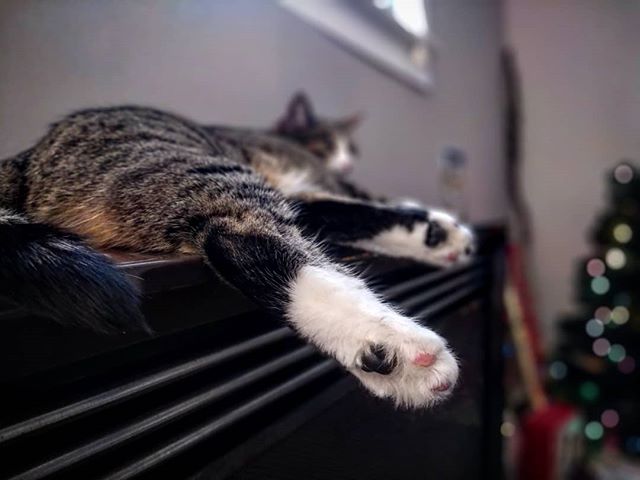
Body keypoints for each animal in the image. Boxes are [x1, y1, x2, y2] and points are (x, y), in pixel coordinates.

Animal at [0, 94, 472, 408]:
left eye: (351, 148)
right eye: (327, 143)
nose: (346, 162)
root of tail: (27, 157)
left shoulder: (312, 192)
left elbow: (358, 207)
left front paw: (436, 230)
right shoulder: (322, 181)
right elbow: (364, 198)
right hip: (189, 167)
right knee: (237, 234)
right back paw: (392, 347)